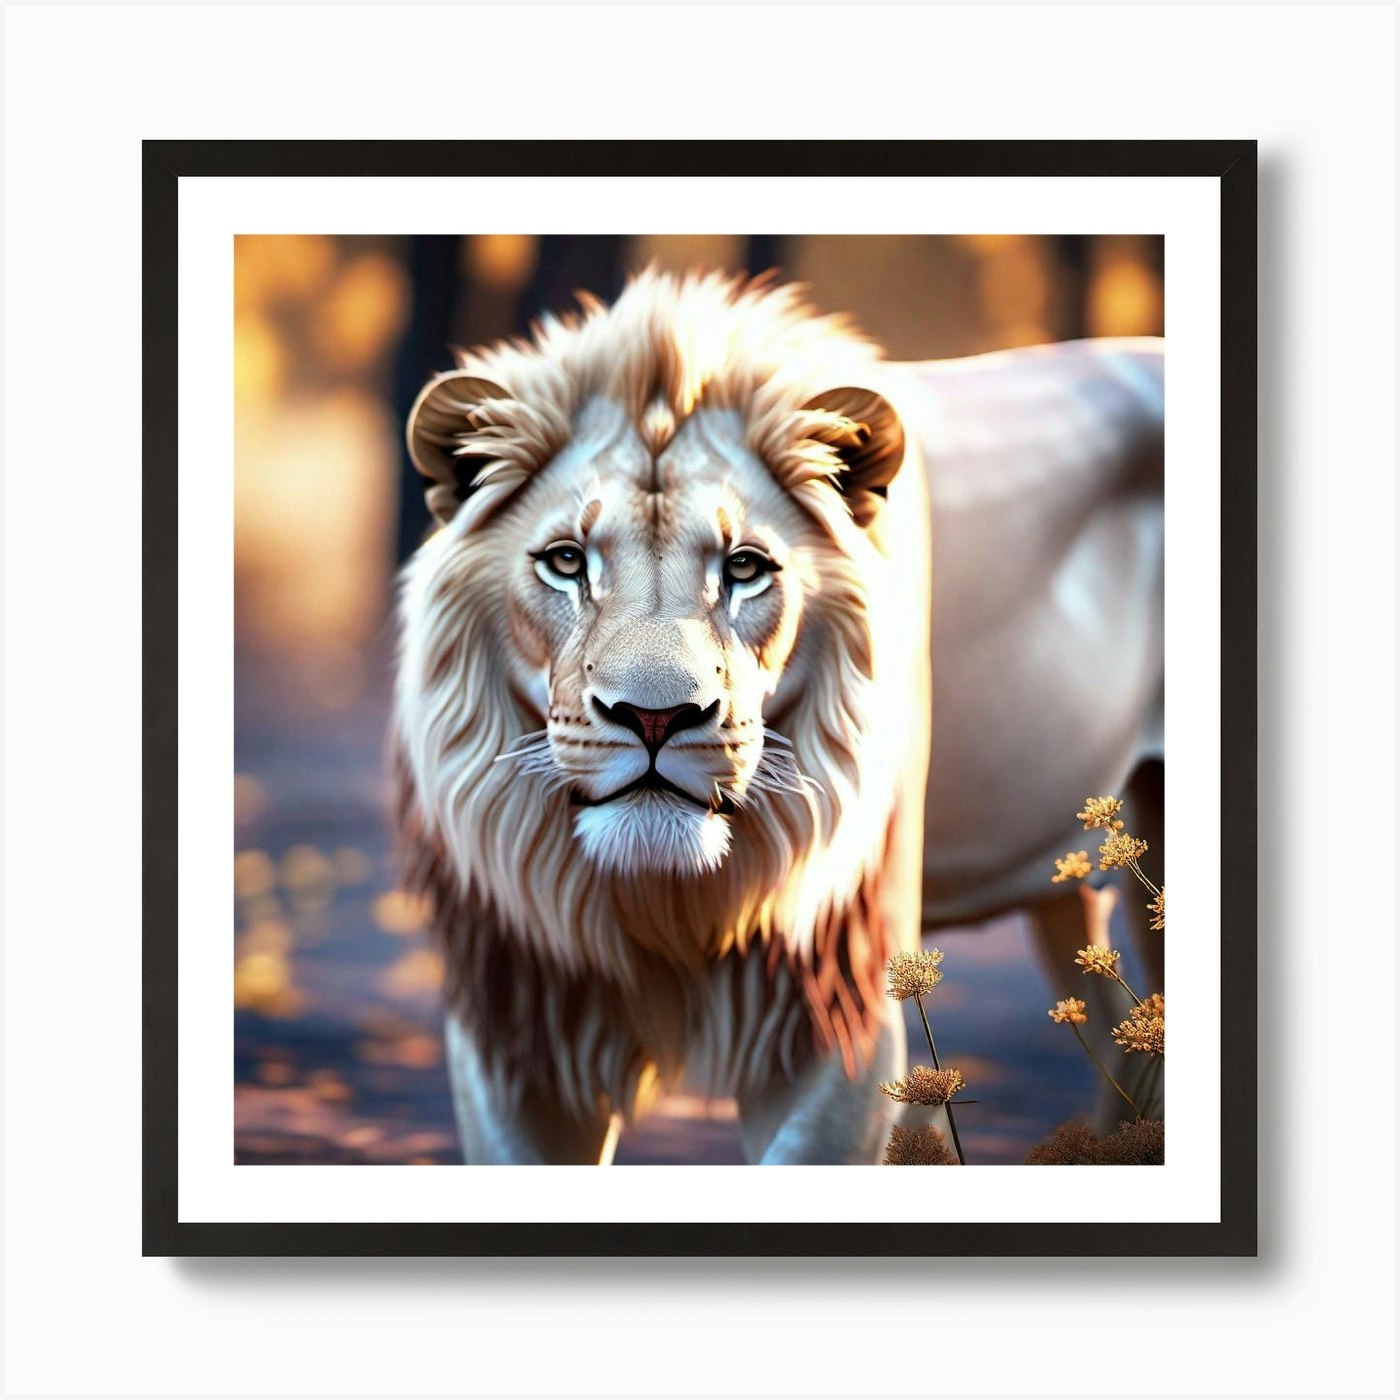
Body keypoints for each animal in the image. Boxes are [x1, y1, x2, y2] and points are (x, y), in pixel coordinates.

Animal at [394, 268, 1164, 1164]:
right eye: (565, 561)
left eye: (745, 567)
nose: (655, 718)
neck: (663, 908)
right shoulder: (515, 1026)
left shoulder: (841, 1009)